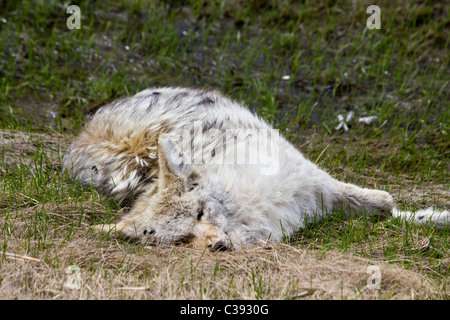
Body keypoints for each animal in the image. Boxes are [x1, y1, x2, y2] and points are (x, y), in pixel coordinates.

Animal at [64, 87, 450, 250]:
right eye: (181, 239)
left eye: (201, 214)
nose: (217, 247)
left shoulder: (316, 185)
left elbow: (386, 204)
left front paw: (433, 218)